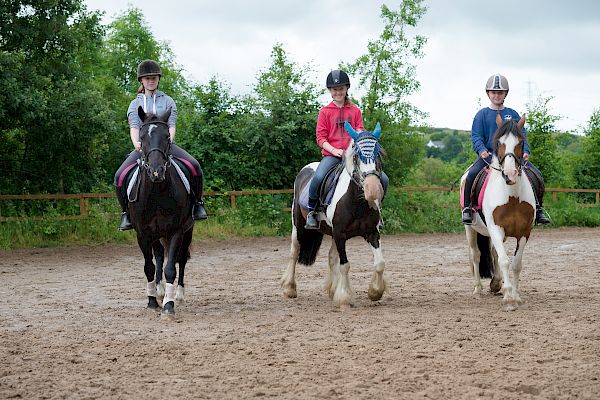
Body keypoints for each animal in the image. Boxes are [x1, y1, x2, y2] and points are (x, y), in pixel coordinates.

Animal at [126, 107, 195, 316]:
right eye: (142, 137)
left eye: (166, 136)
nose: (156, 172)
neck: (157, 193)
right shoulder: (142, 234)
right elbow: (149, 267)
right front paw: (152, 301)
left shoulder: (175, 231)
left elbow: (171, 267)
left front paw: (168, 305)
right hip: (155, 235)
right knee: (157, 256)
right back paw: (158, 289)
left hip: (188, 230)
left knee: (182, 259)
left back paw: (178, 294)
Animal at [460, 114, 536, 310]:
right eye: (499, 142)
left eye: (521, 142)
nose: (510, 174)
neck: (512, 196)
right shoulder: (495, 228)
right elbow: (504, 260)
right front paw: (509, 297)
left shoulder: (524, 232)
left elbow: (516, 263)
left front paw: (515, 295)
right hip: (470, 229)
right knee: (476, 255)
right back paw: (478, 289)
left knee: (493, 253)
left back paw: (496, 284)